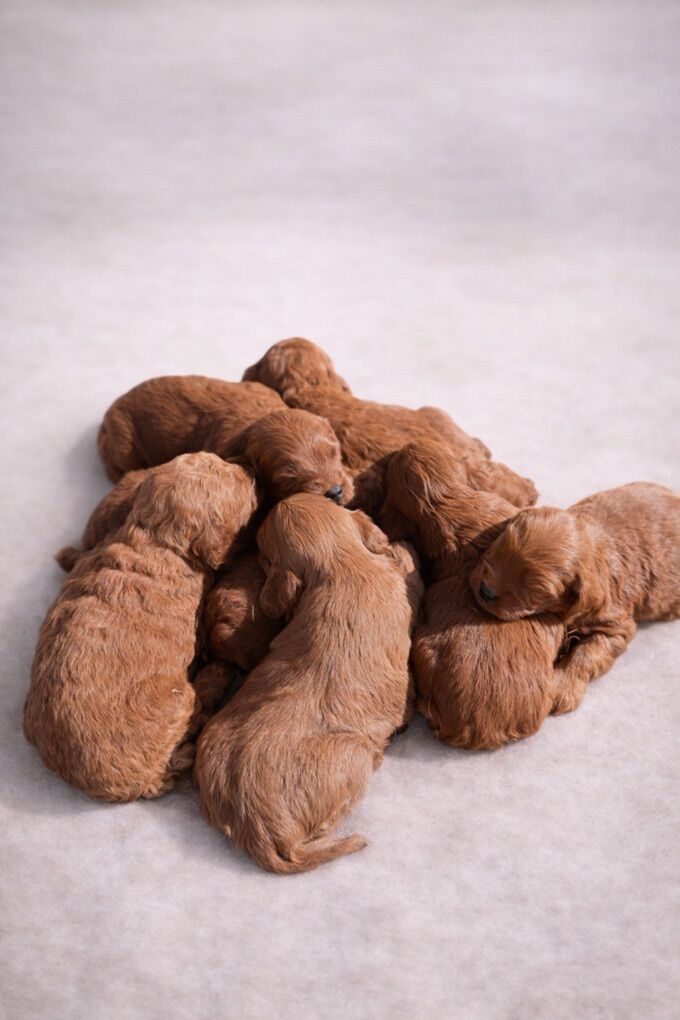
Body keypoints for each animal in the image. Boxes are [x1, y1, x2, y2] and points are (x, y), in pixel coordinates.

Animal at [24, 453, 258, 802]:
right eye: (236, 480)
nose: (249, 469)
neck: (154, 539)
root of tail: (130, 785)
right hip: (178, 699)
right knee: (196, 711)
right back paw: (215, 678)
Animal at [470, 482, 680, 712]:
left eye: (536, 589)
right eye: (501, 546)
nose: (485, 590)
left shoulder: (615, 625)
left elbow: (586, 653)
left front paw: (562, 687)